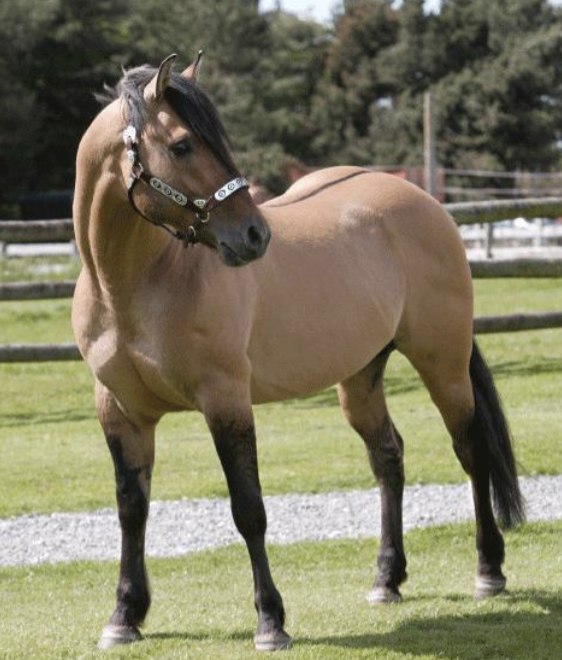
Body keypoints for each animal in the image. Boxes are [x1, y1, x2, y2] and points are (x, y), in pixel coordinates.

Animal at [72, 53, 525, 652]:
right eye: (182, 145)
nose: (254, 235)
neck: (138, 286)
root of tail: (427, 205)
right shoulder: (120, 412)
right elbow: (131, 509)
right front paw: (124, 615)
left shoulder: (226, 401)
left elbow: (248, 509)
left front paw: (270, 621)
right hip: (360, 378)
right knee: (388, 457)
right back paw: (387, 579)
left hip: (443, 365)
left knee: (471, 452)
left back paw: (488, 571)